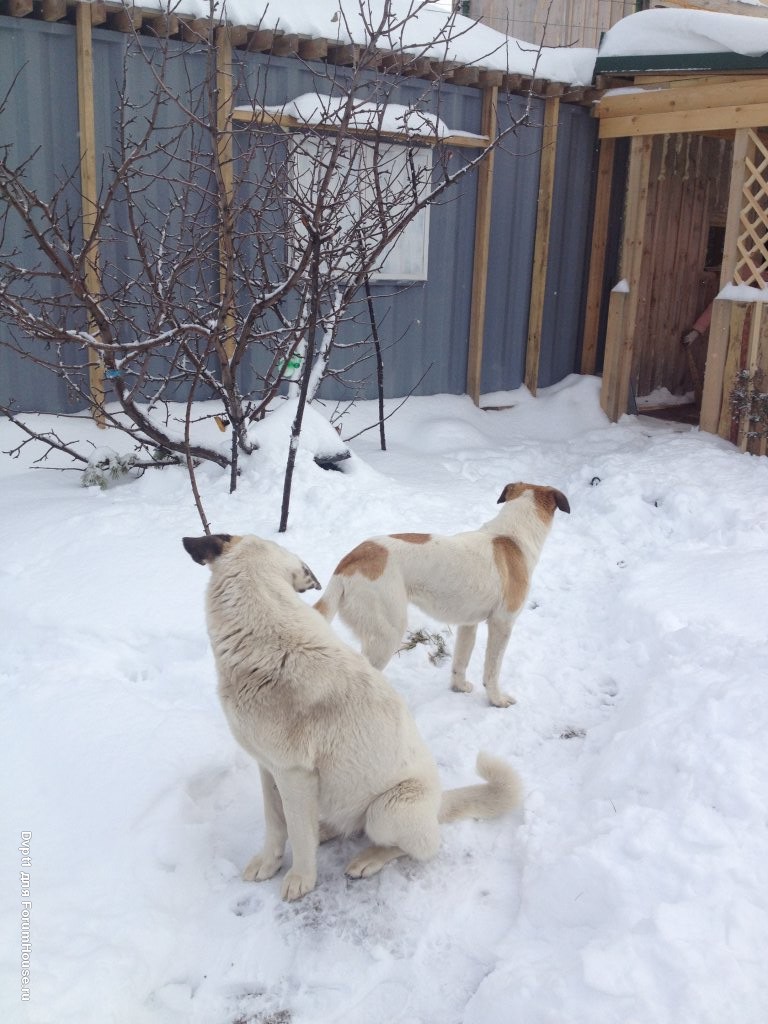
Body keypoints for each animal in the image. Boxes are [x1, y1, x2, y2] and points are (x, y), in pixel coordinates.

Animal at [185, 532, 524, 901]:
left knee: (419, 846)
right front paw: (268, 863)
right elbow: (276, 823)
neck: (262, 635)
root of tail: (438, 805)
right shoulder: (267, 767)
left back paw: (369, 858)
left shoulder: (294, 774)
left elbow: (298, 836)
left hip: (386, 809)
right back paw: (327, 830)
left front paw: (300, 878)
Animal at [313, 483, 573, 708]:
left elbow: (460, 661)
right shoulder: (502, 623)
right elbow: (492, 670)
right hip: (388, 634)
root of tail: (349, 560)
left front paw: (459, 687)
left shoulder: (468, 625)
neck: (510, 537)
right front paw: (496, 700)